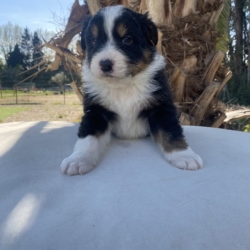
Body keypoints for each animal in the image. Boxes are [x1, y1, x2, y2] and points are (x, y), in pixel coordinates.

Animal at [60, 4, 203, 175]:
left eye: (127, 40)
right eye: (93, 41)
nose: (105, 64)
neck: (123, 85)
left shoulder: (160, 107)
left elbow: (171, 131)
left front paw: (184, 155)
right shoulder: (96, 111)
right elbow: (88, 136)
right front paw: (78, 159)